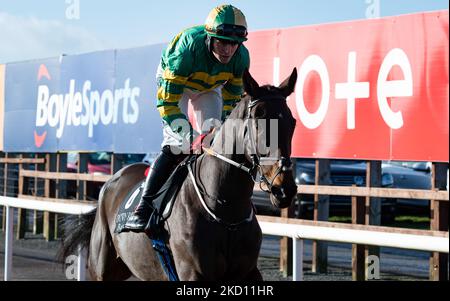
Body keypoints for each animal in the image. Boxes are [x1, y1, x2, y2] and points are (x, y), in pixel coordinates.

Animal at [59, 67, 298, 278]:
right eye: (258, 120)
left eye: (292, 121)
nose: (284, 189)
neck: (226, 212)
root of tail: (113, 180)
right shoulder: (192, 272)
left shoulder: (248, 272)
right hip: (103, 268)